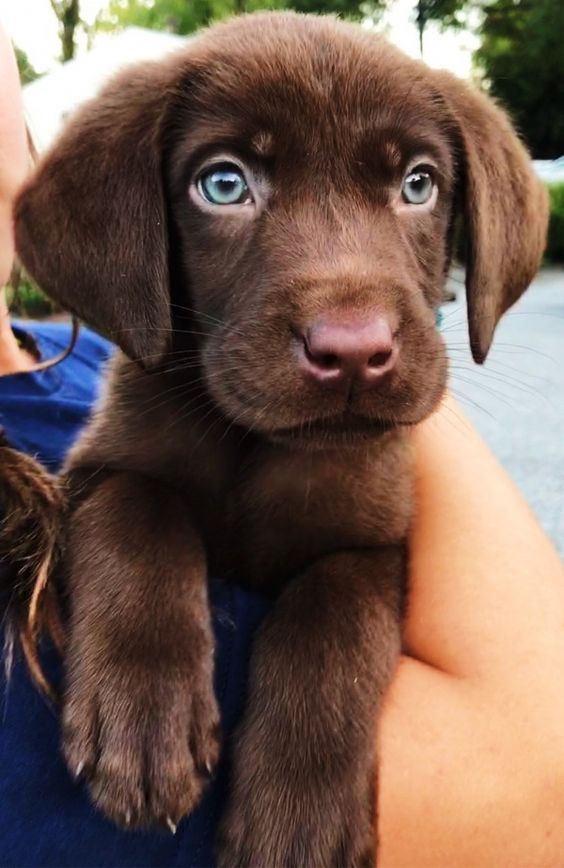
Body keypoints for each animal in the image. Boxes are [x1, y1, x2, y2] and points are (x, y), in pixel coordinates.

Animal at [15, 15, 548, 868]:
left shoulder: (374, 539)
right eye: (223, 184)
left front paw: (297, 815)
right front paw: (144, 720)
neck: (257, 448)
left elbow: (328, 618)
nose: (353, 352)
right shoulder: (99, 466)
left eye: (419, 184)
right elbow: (140, 515)